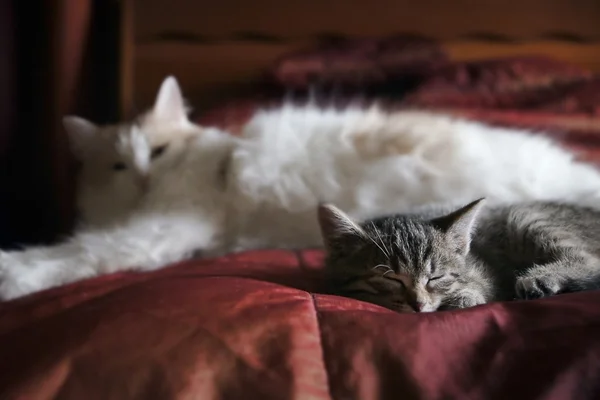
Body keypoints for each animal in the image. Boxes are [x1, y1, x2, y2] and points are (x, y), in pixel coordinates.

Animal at [1, 76, 600, 300]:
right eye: (119, 166)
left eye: (161, 151)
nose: (145, 175)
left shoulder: (161, 228)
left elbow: (78, 253)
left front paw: (13, 273)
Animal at [318, 200, 600, 312]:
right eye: (391, 279)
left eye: (435, 277)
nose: (418, 305)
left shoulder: (488, 271)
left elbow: (481, 285)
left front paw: (465, 296)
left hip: (523, 216)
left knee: (592, 263)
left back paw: (541, 279)